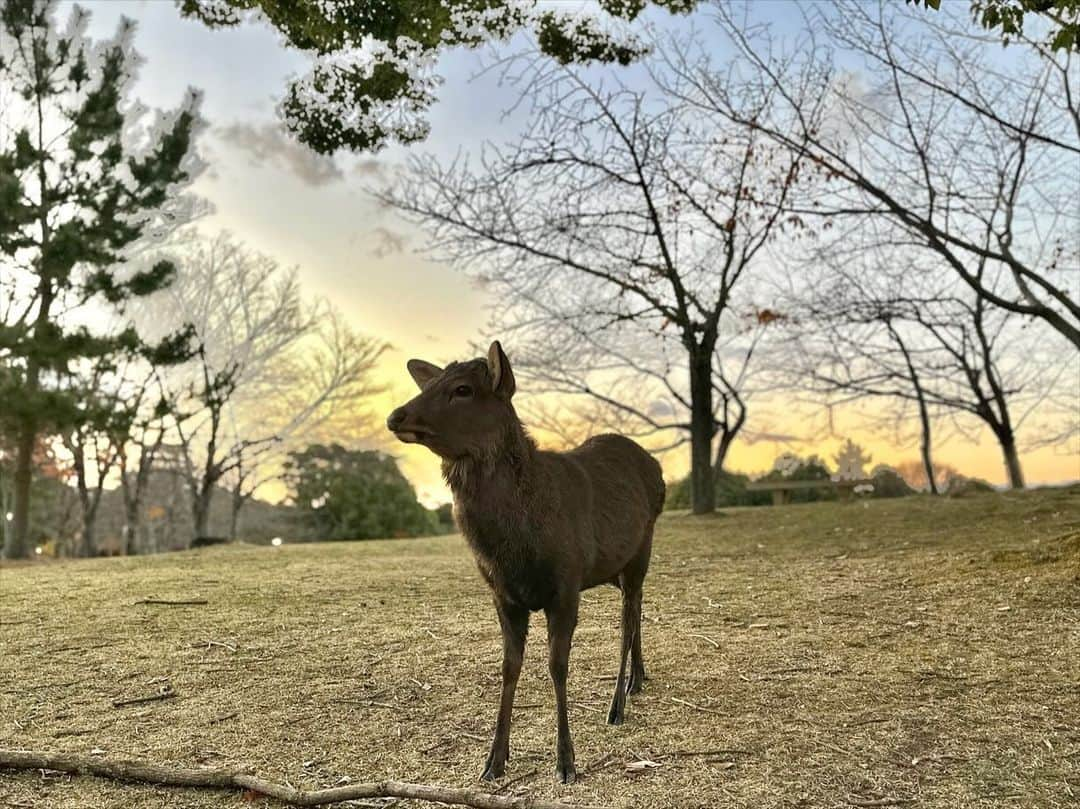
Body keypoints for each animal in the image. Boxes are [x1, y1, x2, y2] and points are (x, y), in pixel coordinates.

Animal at [384, 341, 660, 781]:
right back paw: (638, 679)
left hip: (640, 551)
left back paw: (616, 705)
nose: (396, 416)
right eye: (430, 383)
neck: (515, 549)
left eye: (462, 389)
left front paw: (565, 762)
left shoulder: (565, 585)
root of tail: (656, 466)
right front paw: (493, 761)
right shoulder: (503, 594)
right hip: (616, 568)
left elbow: (557, 666)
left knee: (628, 620)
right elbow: (508, 667)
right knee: (638, 613)